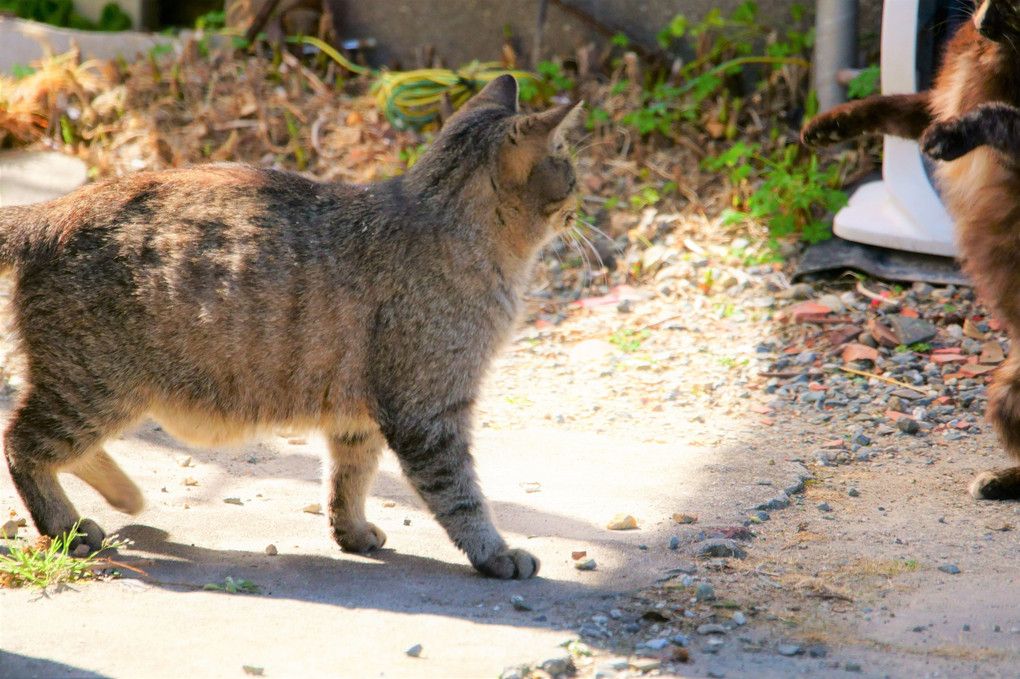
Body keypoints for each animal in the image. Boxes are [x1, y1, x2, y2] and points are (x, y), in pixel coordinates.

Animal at [0, 75, 583, 575]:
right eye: (570, 164)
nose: (583, 195)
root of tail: (57, 208)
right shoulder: (429, 414)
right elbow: (461, 498)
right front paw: (495, 553)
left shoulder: (357, 415)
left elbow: (348, 480)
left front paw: (352, 533)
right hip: (93, 388)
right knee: (21, 443)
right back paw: (68, 527)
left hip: (108, 393)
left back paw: (123, 497)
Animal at [803, 0, 1020, 497]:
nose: (984, 20)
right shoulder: (936, 99)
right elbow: (888, 105)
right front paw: (826, 126)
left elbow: (996, 114)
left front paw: (953, 136)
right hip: (1007, 392)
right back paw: (999, 481)